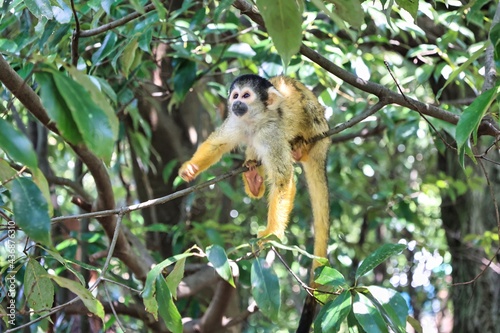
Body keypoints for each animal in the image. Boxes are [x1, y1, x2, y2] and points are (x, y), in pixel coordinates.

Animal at [179, 74, 328, 330]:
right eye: (235, 95)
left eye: (246, 96)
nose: (237, 103)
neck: (253, 121)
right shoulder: (235, 122)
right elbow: (216, 145)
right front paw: (191, 168)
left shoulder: (271, 134)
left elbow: (282, 179)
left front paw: (271, 234)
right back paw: (253, 178)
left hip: (320, 132)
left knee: (310, 112)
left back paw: (302, 147)